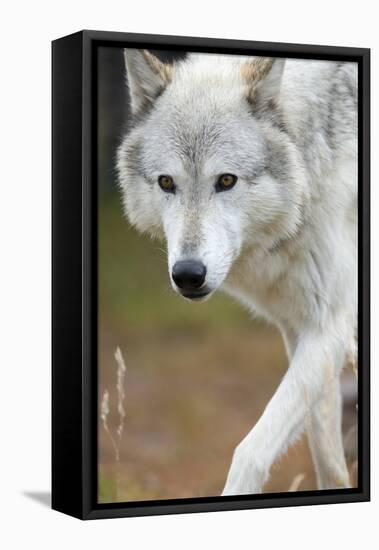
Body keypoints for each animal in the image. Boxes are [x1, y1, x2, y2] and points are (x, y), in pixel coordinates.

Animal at [117, 48, 358, 496]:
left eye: (226, 179)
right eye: (166, 183)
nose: (188, 274)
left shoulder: (332, 325)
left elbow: (250, 451)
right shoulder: (303, 328)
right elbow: (328, 460)